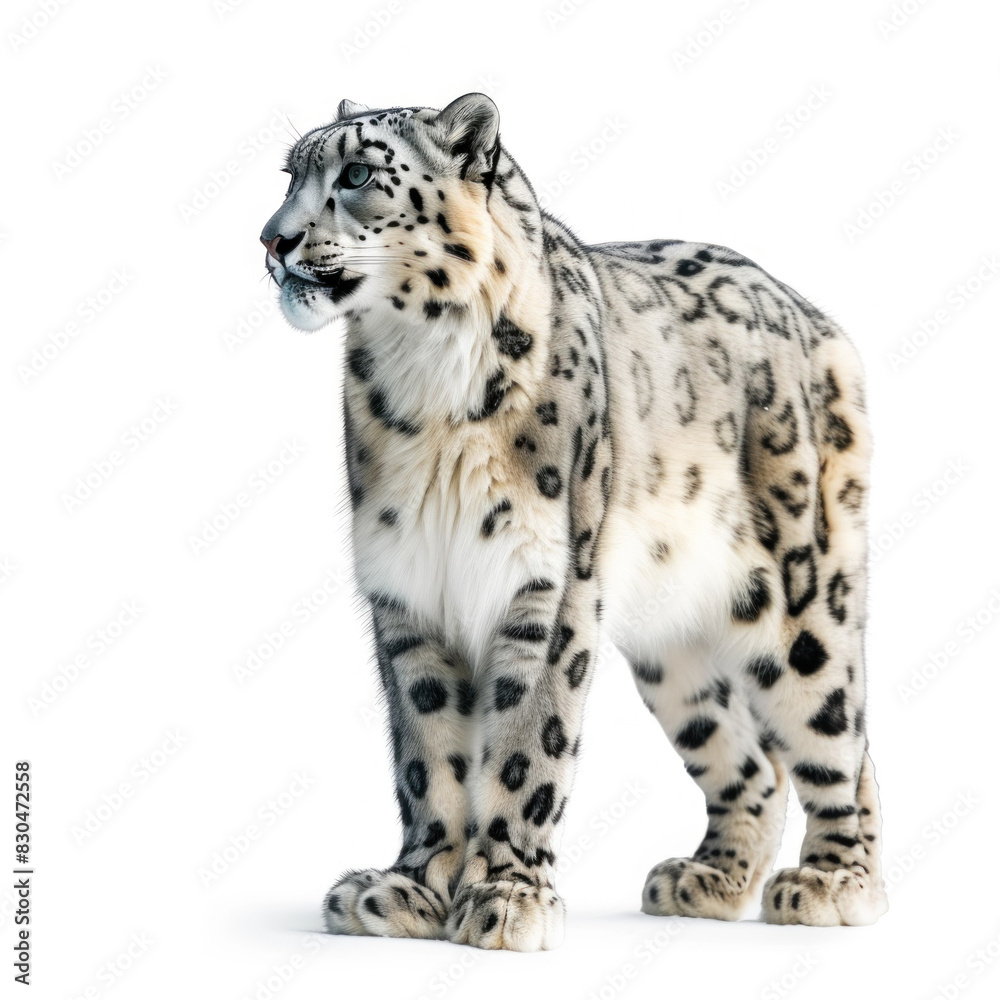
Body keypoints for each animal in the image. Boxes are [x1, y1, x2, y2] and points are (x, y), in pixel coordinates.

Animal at [259, 93, 888, 951]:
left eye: (356, 173)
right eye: (291, 174)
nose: (272, 238)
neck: (424, 376)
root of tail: (817, 318)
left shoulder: (547, 585)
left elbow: (528, 748)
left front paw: (507, 894)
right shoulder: (406, 592)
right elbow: (426, 754)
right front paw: (408, 887)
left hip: (803, 592)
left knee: (839, 731)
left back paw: (834, 881)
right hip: (672, 652)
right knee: (751, 760)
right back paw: (709, 879)